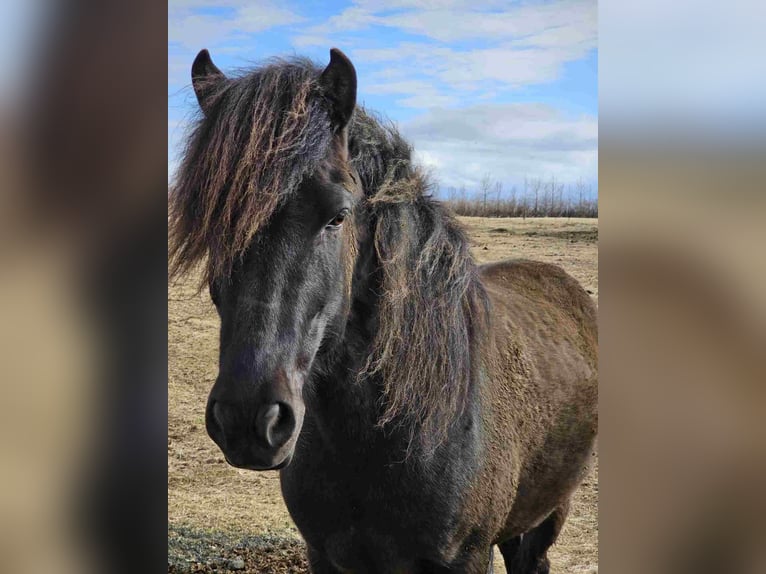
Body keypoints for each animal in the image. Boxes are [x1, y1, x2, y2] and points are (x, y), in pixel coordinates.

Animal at [171, 47, 596, 572]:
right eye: (213, 225)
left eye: (337, 216)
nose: (248, 419)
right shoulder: (324, 555)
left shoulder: (465, 558)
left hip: (547, 516)